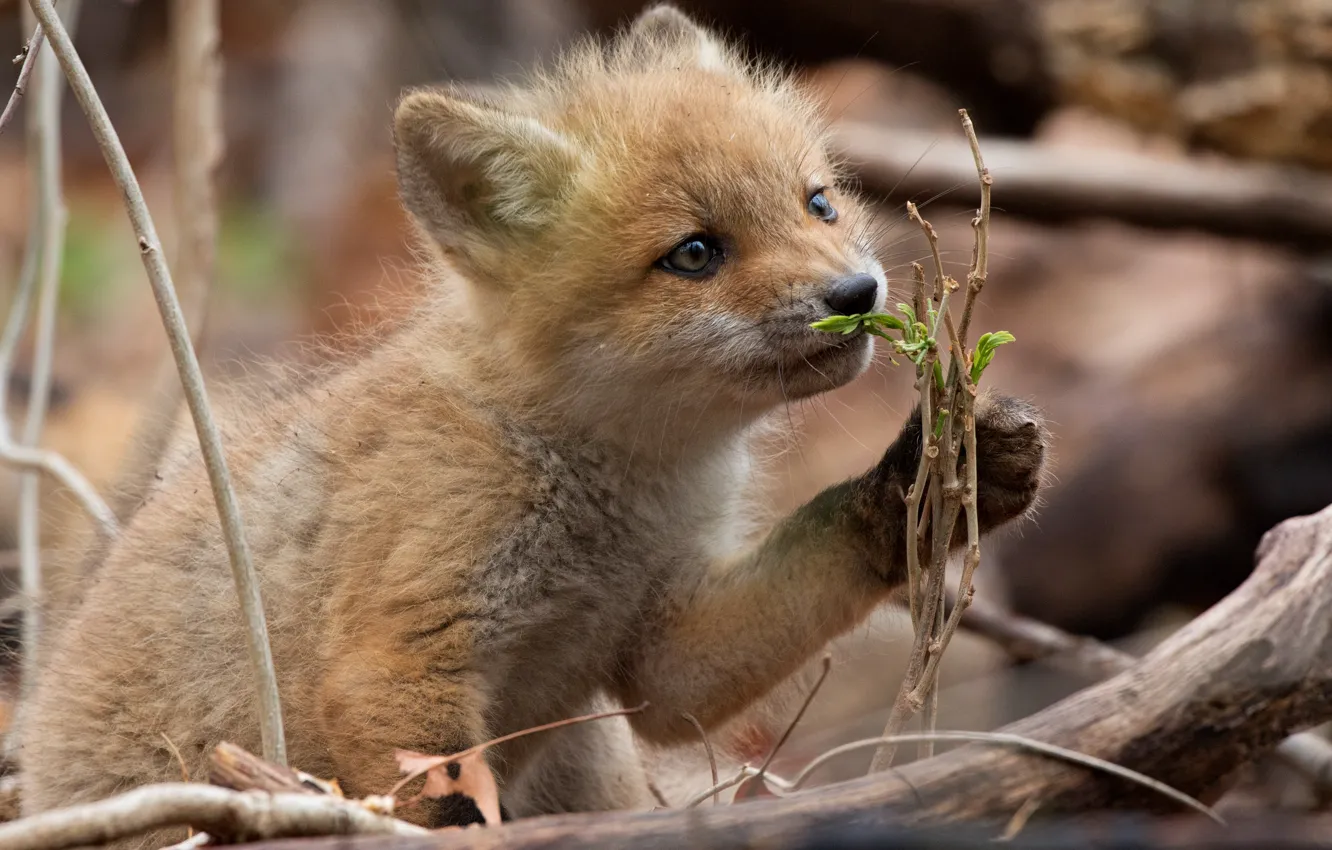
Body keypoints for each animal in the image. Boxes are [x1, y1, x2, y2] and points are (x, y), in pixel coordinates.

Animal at [17, 3, 1046, 839]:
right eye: (696, 254)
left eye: (819, 202)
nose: (856, 294)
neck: (615, 492)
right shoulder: (398, 657)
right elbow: (440, 812)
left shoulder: (656, 646)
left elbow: (787, 579)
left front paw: (944, 470)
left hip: (588, 752)